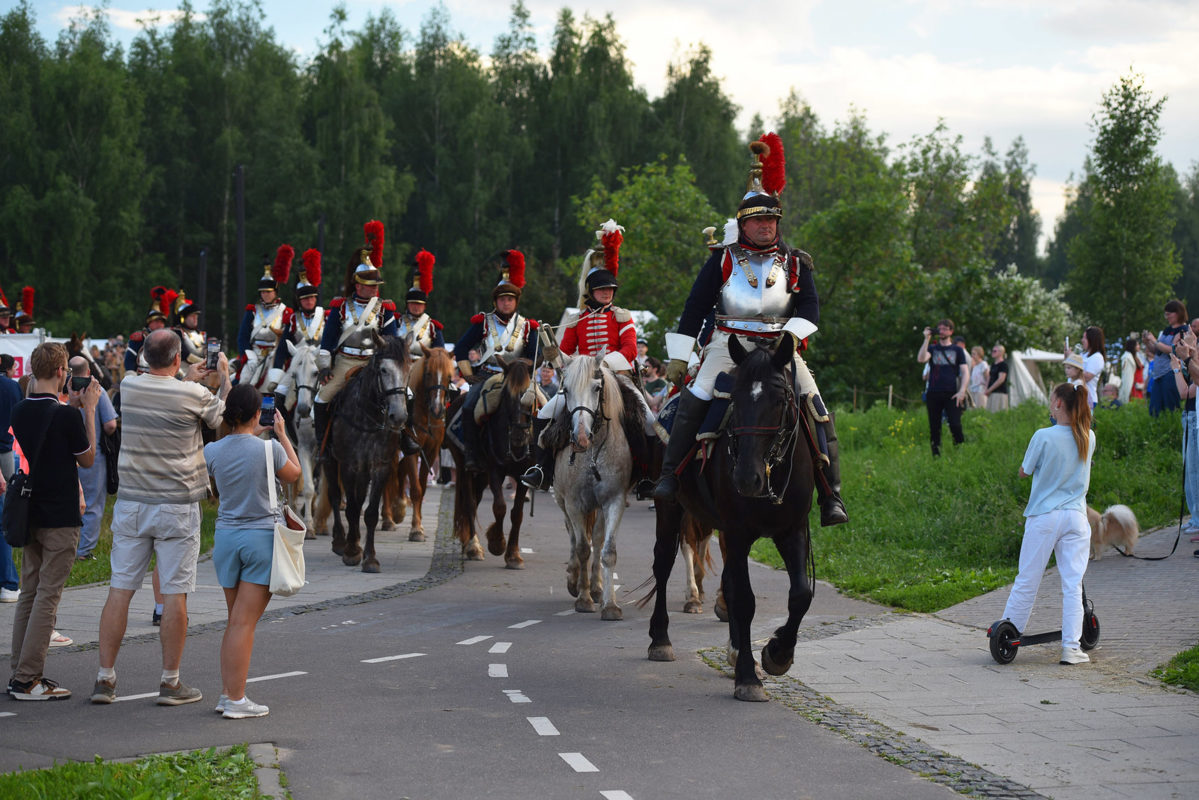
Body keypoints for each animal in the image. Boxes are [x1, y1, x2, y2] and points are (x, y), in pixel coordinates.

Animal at [323, 335, 412, 573]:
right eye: (383, 370)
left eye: (408, 369)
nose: (398, 417)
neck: (369, 417)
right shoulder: (348, 465)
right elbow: (352, 508)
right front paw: (352, 552)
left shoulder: (381, 466)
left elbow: (370, 512)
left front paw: (370, 558)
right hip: (330, 460)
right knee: (336, 496)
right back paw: (340, 541)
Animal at [381, 345, 450, 544]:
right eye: (428, 373)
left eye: (449, 376)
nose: (437, 409)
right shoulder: (413, 451)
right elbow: (416, 489)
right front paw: (416, 530)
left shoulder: (431, 451)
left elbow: (422, 486)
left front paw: (416, 522)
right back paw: (388, 518)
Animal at [448, 359, 537, 573]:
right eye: (507, 395)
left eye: (529, 395)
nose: (519, 436)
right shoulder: (496, 470)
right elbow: (500, 507)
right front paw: (497, 543)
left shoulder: (524, 475)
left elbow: (517, 514)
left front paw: (513, 555)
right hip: (465, 467)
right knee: (469, 502)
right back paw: (472, 546)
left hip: (482, 475)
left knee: (476, 500)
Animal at [551, 352, 642, 623]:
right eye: (566, 389)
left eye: (597, 387)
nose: (580, 438)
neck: (592, 454)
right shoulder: (573, 502)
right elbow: (582, 547)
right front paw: (583, 599)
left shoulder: (614, 500)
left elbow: (607, 549)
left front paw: (609, 605)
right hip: (562, 501)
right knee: (573, 535)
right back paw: (574, 580)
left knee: (598, 539)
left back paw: (597, 586)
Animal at [647, 335, 815, 705]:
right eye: (734, 399)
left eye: (780, 399)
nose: (747, 479)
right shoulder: (738, 533)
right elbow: (745, 599)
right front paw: (749, 677)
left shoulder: (792, 530)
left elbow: (800, 595)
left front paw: (777, 654)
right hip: (669, 508)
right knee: (663, 564)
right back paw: (660, 639)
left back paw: (738, 650)